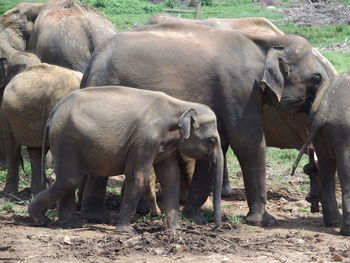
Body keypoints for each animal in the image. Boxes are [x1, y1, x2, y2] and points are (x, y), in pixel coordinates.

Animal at [28, 85, 223, 234]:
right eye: (212, 140)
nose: (215, 227)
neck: (180, 105)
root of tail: (54, 111)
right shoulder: (145, 139)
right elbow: (138, 177)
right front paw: (126, 232)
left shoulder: (166, 147)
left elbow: (171, 178)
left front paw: (175, 231)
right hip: (64, 139)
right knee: (69, 180)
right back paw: (37, 219)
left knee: (68, 181)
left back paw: (69, 225)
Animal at [79, 23, 328, 227]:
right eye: (315, 78)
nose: (312, 205)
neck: (265, 44)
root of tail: (92, 62)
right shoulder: (239, 90)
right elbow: (247, 144)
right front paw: (264, 221)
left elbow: (221, 144)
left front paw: (194, 218)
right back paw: (97, 217)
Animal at [292, 74, 350, 237]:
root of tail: (324, 108)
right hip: (344, 132)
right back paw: (345, 231)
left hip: (322, 131)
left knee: (327, 169)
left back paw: (334, 223)